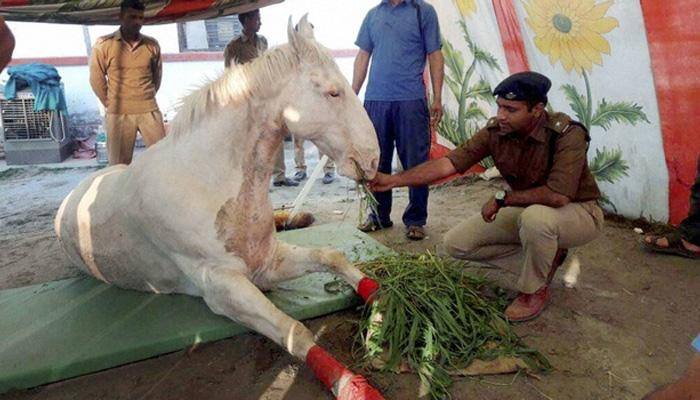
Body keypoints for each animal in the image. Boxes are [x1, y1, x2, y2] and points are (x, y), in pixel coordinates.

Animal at [54, 17, 382, 398]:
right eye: (332, 92)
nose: (372, 160)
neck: (207, 181)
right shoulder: (224, 287)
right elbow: (295, 331)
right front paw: (354, 386)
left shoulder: (266, 263)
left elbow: (333, 257)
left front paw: (384, 311)